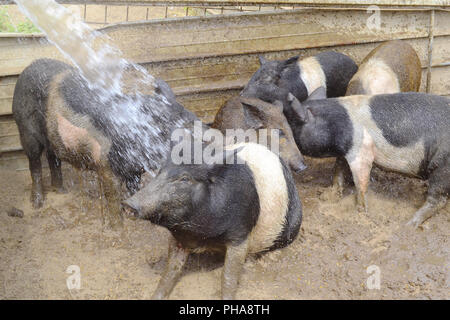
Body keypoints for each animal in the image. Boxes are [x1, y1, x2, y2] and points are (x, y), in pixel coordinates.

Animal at [11, 58, 197, 228]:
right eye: (161, 120)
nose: (196, 122)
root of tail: (27, 68)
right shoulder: (106, 165)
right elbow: (112, 197)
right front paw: (117, 229)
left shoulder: (134, 169)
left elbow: (134, 189)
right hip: (25, 128)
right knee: (35, 163)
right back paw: (37, 204)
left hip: (51, 136)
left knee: (52, 157)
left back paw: (61, 191)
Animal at [123, 142, 302, 300]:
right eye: (160, 172)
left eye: (185, 178)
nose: (128, 204)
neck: (200, 235)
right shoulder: (179, 238)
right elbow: (170, 271)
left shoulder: (240, 234)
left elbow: (228, 277)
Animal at [286, 86, 448, 228]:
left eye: (292, 128)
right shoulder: (346, 150)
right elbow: (338, 170)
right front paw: (326, 196)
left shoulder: (361, 149)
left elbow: (361, 181)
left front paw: (360, 212)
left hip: (442, 166)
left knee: (438, 198)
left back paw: (409, 224)